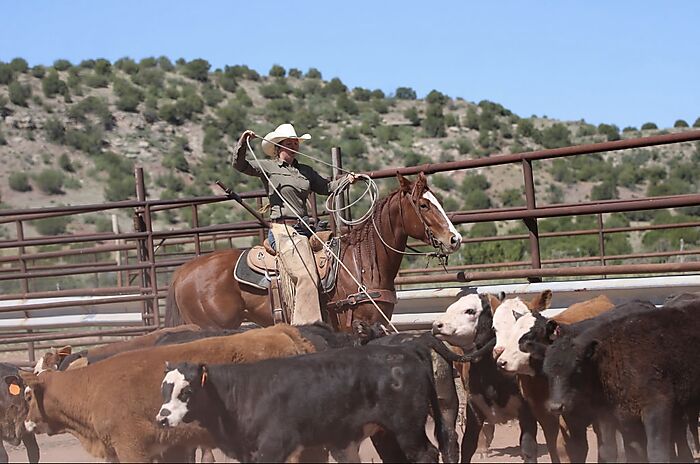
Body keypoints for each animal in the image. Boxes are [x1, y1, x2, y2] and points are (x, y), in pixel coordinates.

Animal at [157, 343, 450, 463]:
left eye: (187, 391)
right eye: (164, 389)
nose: (162, 418)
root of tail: (406, 350)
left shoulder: (273, 446)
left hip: (407, 428)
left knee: (426, 454)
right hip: (385, 432)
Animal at [543, 301, 700, 462]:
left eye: (577, 369)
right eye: (546, 372)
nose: (556, 406)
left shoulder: (657, 406)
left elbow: (657, 452)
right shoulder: (618, 417)